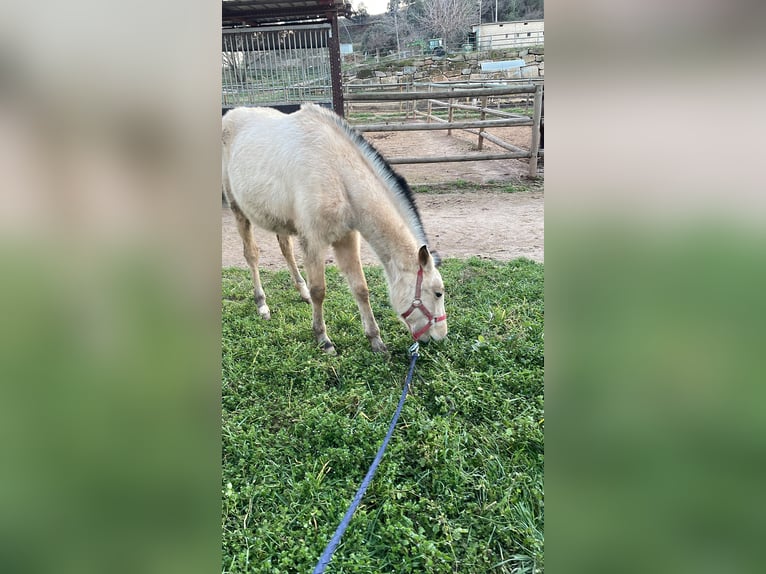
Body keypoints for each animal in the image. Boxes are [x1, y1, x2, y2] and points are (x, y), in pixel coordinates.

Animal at [220, 103, 450, 356]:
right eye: (438, 293)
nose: (440, 336)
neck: (338, 173)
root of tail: (229, 115)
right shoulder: (314, 241)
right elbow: (319, 290)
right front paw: (323, 339)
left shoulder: (346, 238)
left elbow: (360, 288)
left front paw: (375, 340)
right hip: (238, 210)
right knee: (251, 255)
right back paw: (262, 304)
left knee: (286, 249)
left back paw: (301, 292)